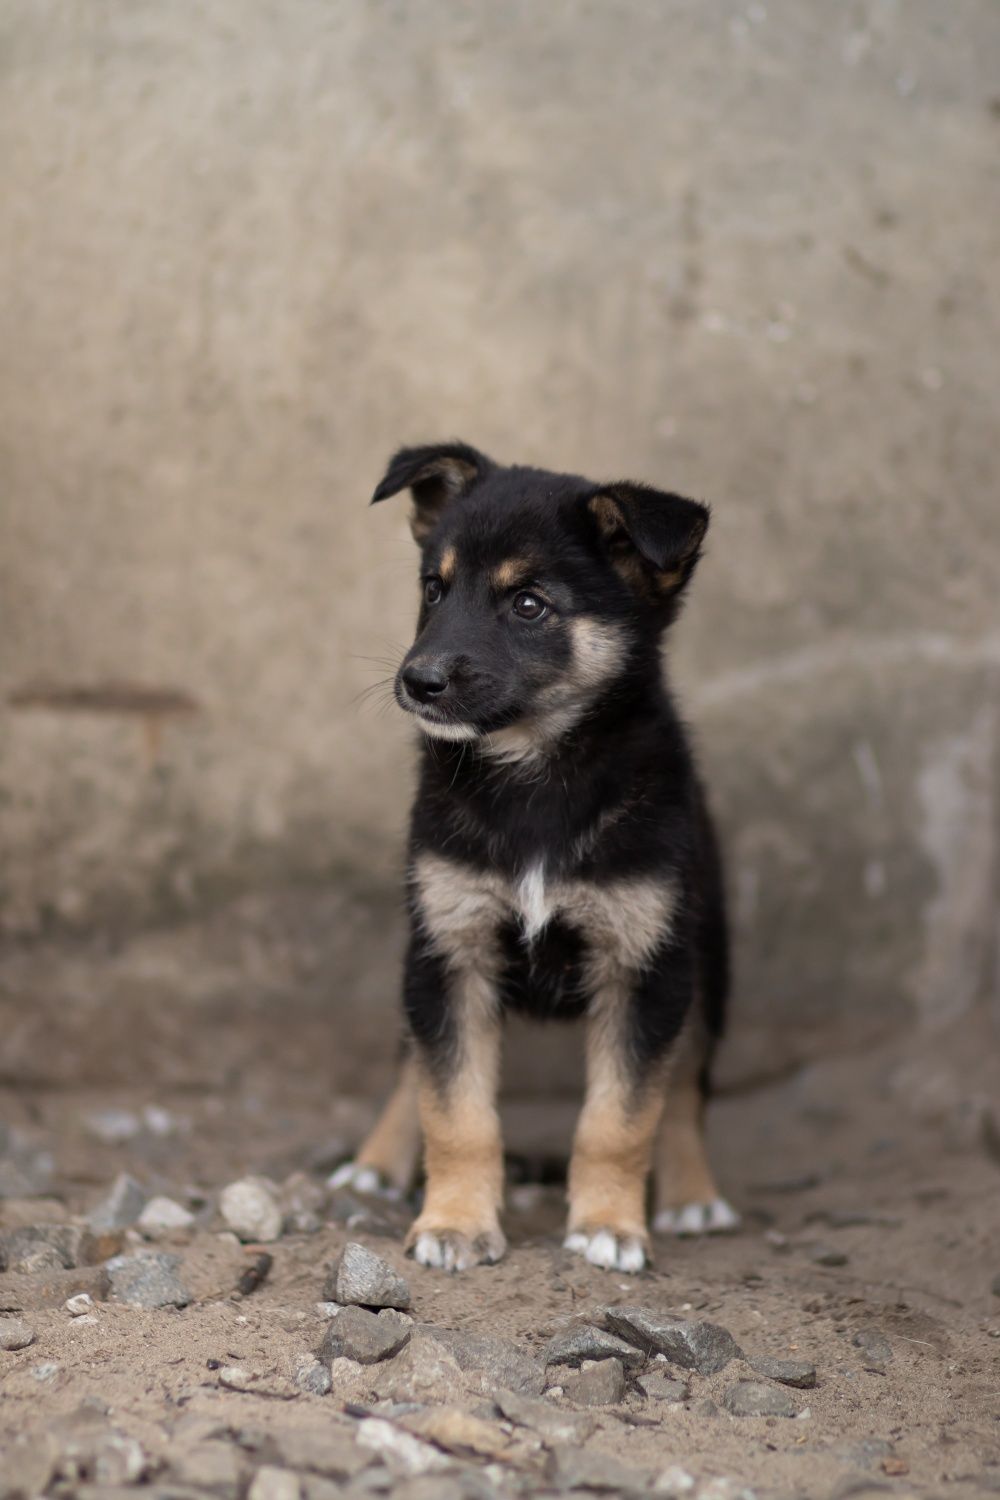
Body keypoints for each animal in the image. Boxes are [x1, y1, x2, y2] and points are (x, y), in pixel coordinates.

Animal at [332, 441, 740, 1266]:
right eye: (433, 590)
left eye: (528, 605)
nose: (416, 681)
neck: (537, 777)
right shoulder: (450, 950)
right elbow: (453, 1106)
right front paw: (454, 1222)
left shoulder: (644, 966)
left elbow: (622, 1118)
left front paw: (609, 1226)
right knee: (410, 1061)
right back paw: (376, 1162)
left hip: (707, 963)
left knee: (686, 1088)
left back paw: (691, 1194)